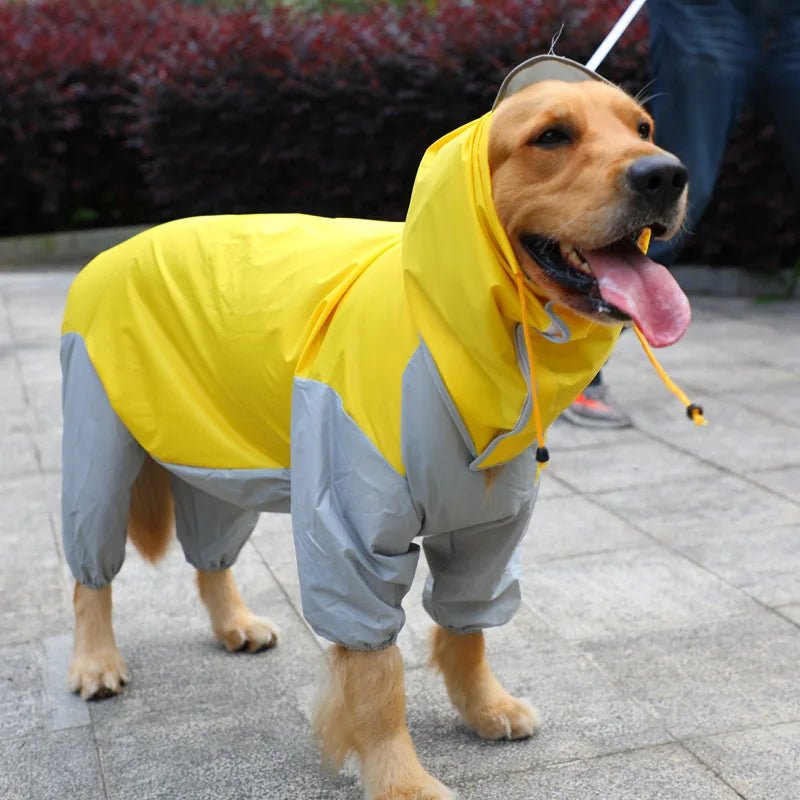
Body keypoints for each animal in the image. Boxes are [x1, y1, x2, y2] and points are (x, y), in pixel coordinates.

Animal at [61, 57, 688, 800]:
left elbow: (468, 627)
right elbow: (375, 676)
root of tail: (116, 248)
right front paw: (400, 779)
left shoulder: (487, 525)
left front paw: (484, 707)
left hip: (214, 457)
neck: (454, 331)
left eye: (642, 127)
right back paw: (96, 662)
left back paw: (234, 623)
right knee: (90, 574)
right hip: (100, 451)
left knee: (211, 555)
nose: (666, 175)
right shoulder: (351, 527)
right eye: (552, 135)